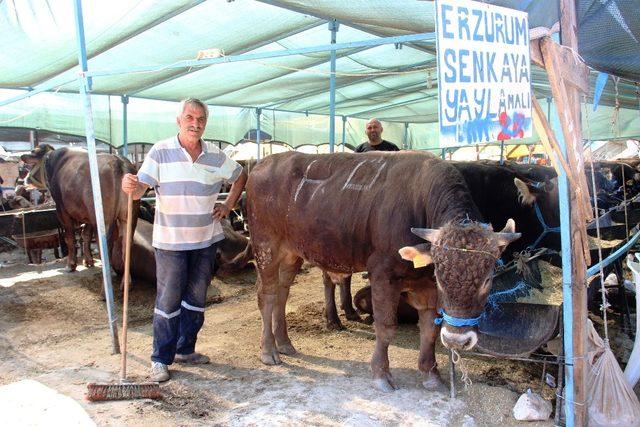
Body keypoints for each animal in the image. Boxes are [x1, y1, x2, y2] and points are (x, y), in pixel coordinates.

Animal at [21, 145, 138, 274]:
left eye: (30, 165)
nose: (24, 181)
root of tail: (118, 161)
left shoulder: (61, 209)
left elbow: (70, 237)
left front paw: (71, 265)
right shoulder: (88, 216)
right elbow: (86, 235)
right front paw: (89, 261)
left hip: (104, 220)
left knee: (106, 247)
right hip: (129, 218)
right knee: (126, 247)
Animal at [246, 152, 520, 392]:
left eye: (487, 279)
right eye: (441, 278)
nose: (456, 341)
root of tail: (263, 164)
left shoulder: (425, 286)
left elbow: (429, 329)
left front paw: (431, 374)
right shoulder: (382, 273)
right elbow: (386, 326)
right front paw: (381, 375)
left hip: (292, 253)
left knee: (282, 293)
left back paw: (284, 343)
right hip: (265, 247)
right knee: (266, 296)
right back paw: (268, 350)